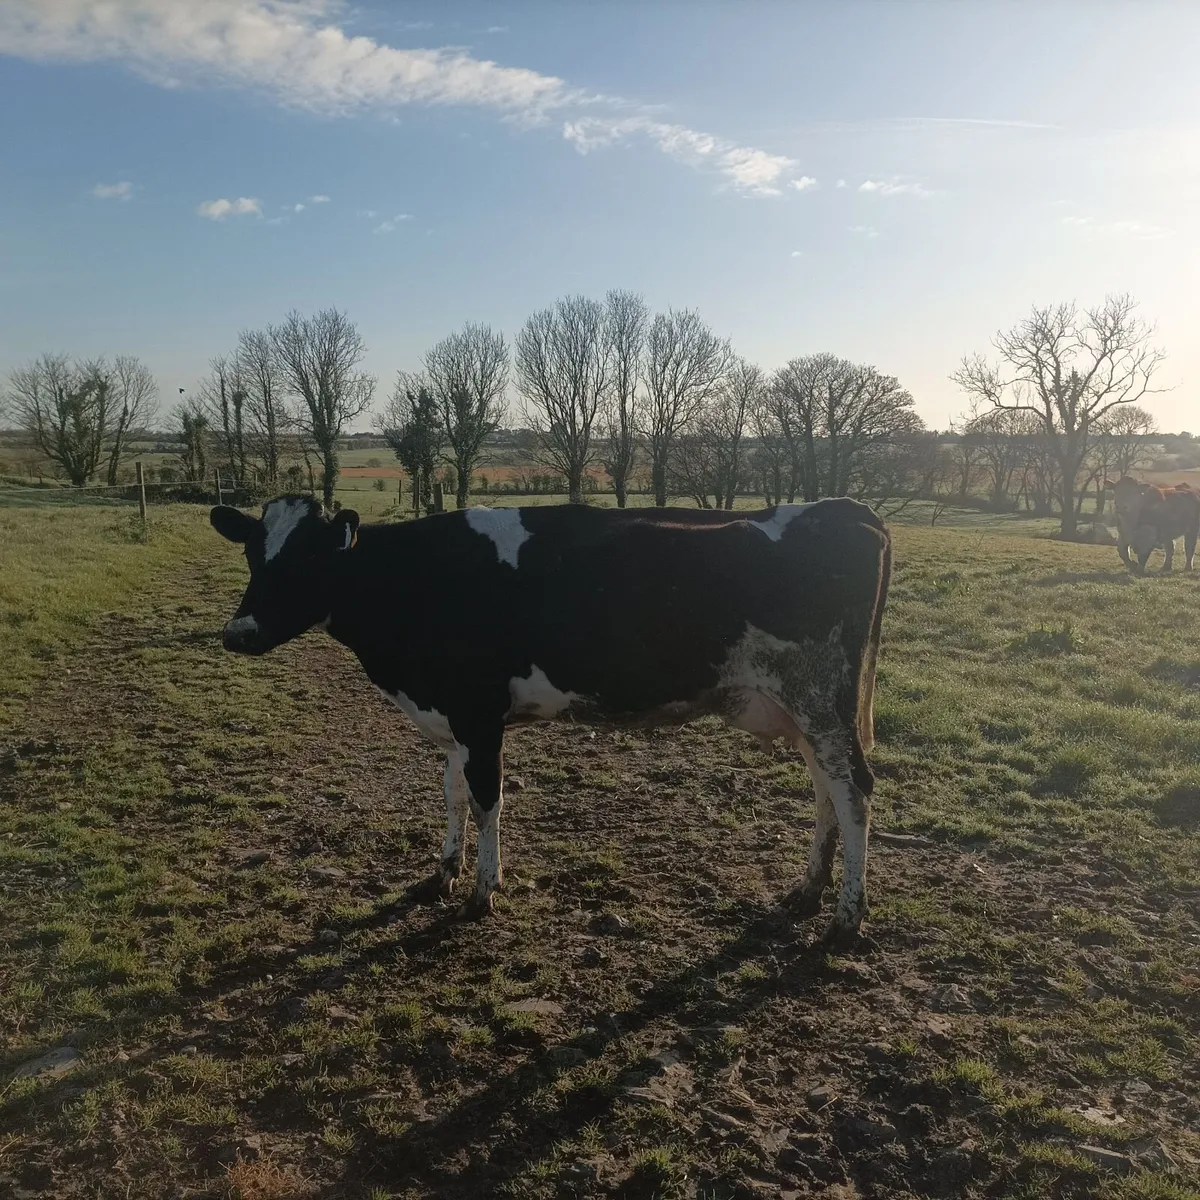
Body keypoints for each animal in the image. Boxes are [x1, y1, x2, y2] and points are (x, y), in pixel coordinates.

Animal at [209, 497, 892, 942]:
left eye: (307, 558)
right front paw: (441, 873)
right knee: (826, 788)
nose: (238, 633)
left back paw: (846, 917)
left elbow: (486, 797)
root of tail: (845, 508)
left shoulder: (478, 714)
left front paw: (483, 892)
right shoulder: (451, 718)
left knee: (854, 789)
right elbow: (451, 794)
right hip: (808, 709)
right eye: (252, 553)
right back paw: (808, 890)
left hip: (820, 697)